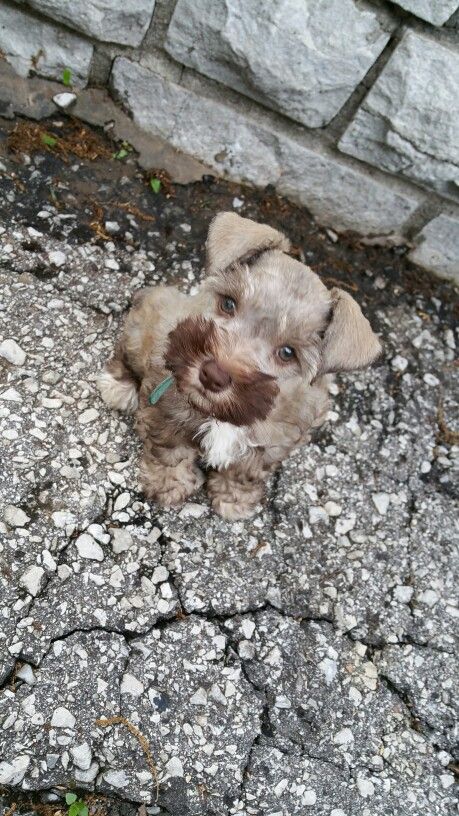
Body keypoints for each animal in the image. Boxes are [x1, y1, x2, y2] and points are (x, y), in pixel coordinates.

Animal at [99, 214, 382, 520]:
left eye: (287, 353)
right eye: (228, 303)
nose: (213, 375)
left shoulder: (272, 444)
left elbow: (242, 473)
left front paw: (233, 500)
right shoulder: (169, 411)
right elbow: (170, 452)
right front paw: (169, 485)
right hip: (141, 332)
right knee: (126, 354)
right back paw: (119, 387)